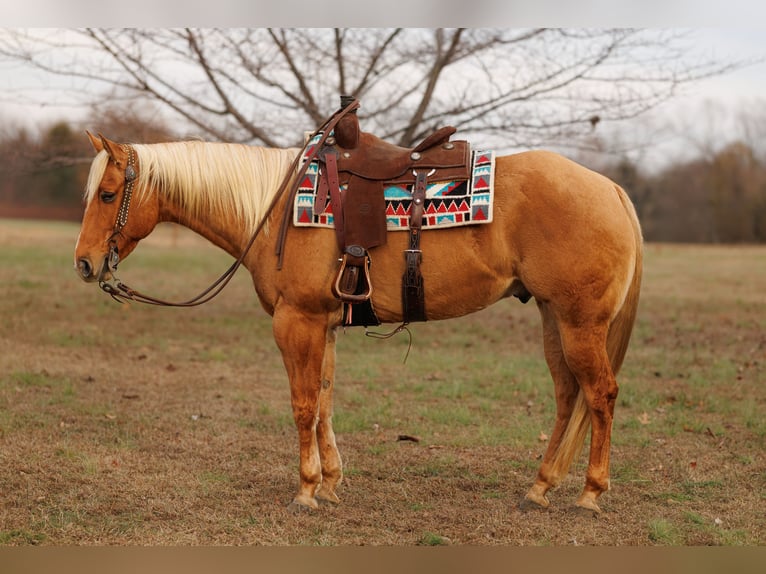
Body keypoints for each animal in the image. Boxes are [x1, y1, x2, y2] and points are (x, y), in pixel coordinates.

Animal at [74, 130, 642, 515]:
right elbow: (324, 401)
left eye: (107, 194)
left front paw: (306, 489)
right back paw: (540, 487)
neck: (273, 210)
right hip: (554, 318)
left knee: (600, 395)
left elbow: (304, 405)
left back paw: (590, 493)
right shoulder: (322, 326)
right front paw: (329, 482)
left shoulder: (296, 322)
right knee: (569, 395)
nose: (83, 263)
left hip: (579, 322)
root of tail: (610, 189)